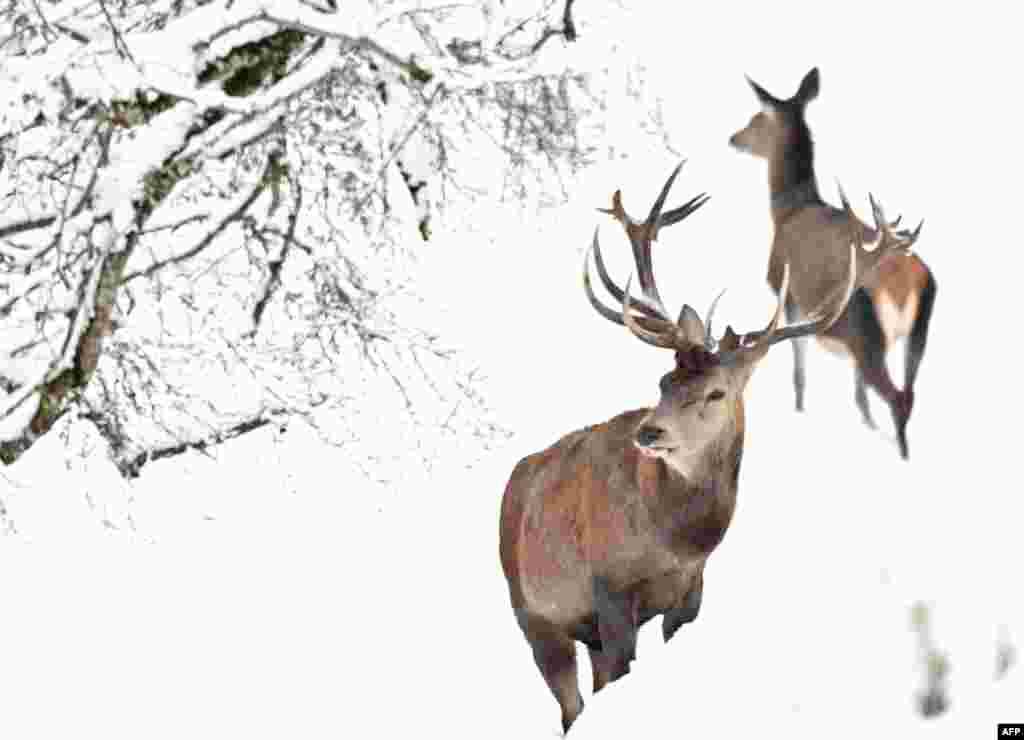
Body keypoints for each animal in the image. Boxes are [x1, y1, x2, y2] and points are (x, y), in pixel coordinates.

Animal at [495, 161, 921, 736]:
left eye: (716, 393)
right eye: (663, 381)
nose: (649, 432)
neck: (675, 540)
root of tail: (514, 479)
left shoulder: (691, 591)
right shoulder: (608, 588)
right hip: (532, 611)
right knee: (572, 705)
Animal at [729, 71, 937, 462]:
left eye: (757, 117)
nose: (734, 137)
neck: (787, 210)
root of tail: (906, 283)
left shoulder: (786, 292)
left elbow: (799, 369)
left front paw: (799, 410)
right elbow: (858, 396)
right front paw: (865, 426)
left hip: (863, 327)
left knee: (896, 398)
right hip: (917, 331)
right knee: (907, 392)